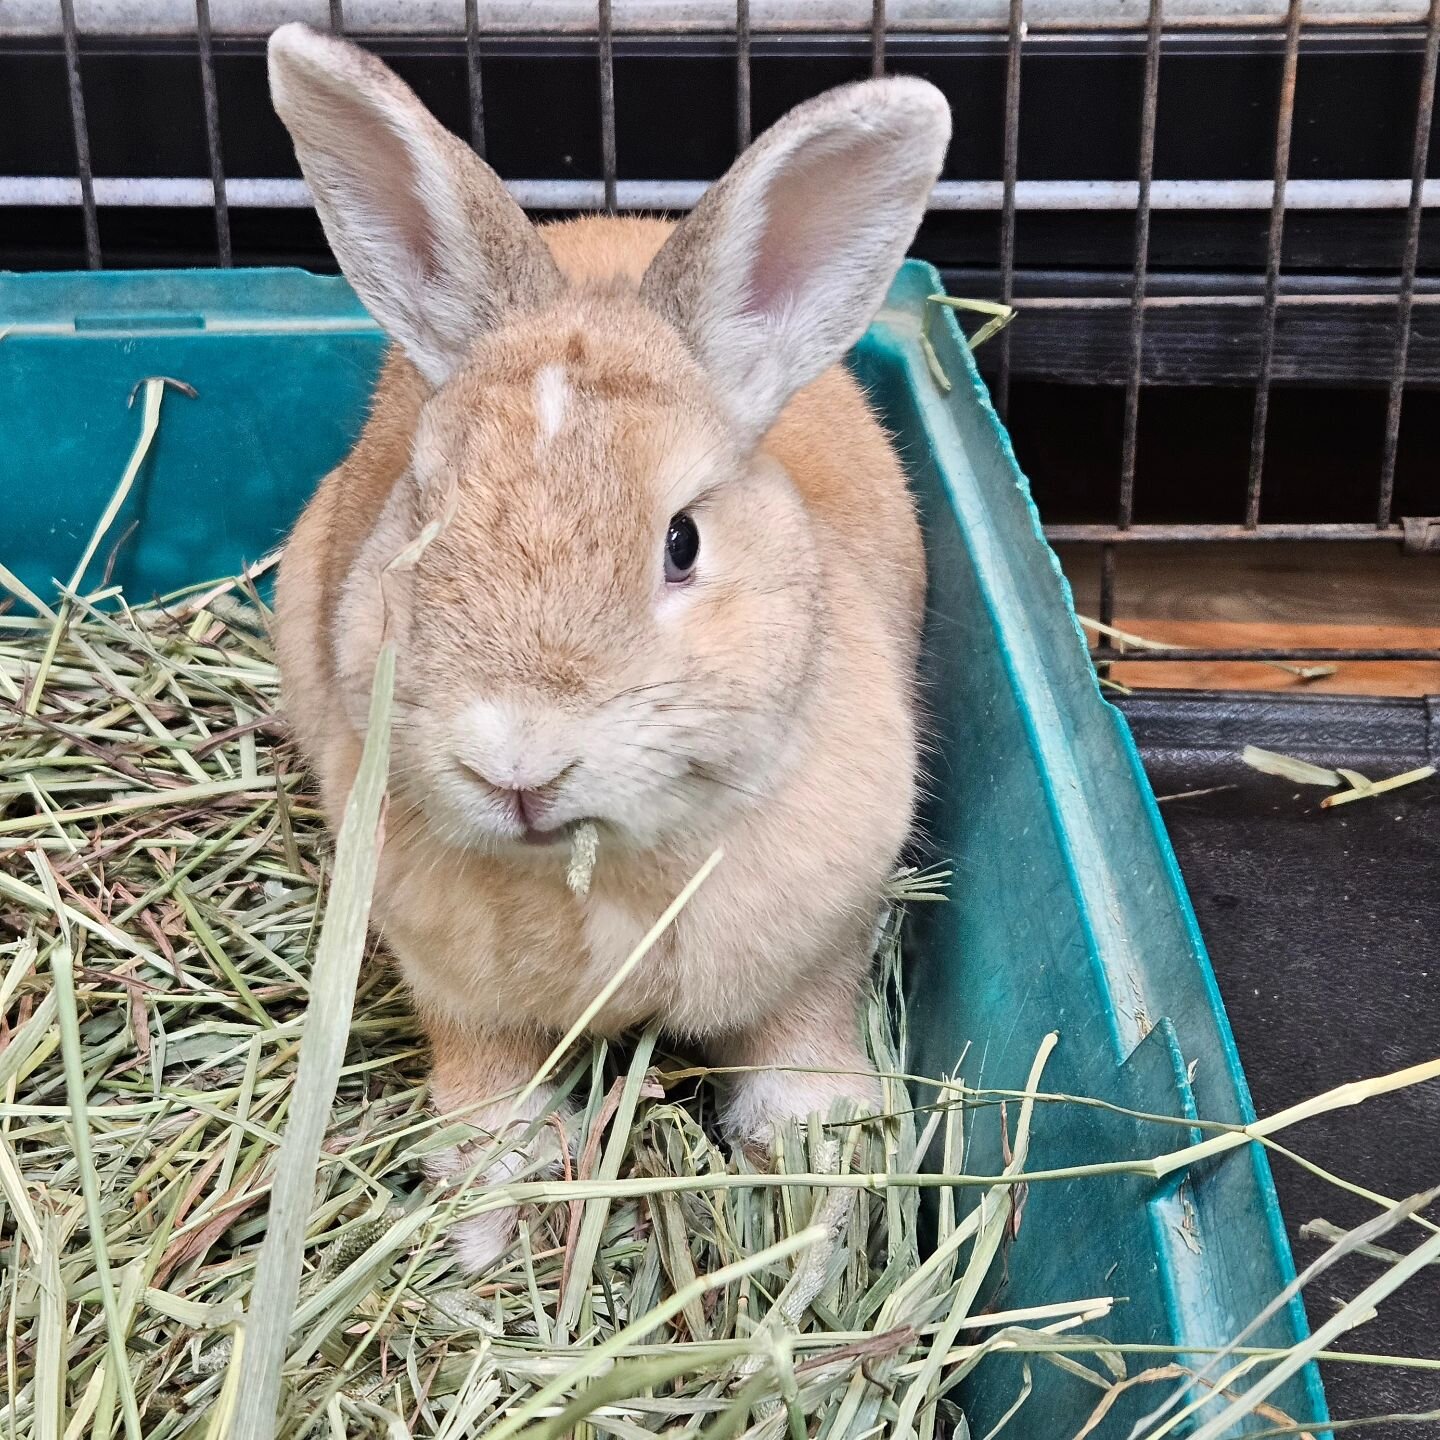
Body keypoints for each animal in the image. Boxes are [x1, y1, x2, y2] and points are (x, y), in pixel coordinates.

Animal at [266, 22, 950, 1272]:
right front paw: (487, 1239)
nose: (517, 764)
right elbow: (488, 1106)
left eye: (683, 540)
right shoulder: (454, 989)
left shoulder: (822, 945)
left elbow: (802, 1071)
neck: (600, 875)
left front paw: (817, 1217)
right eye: (421, 512)